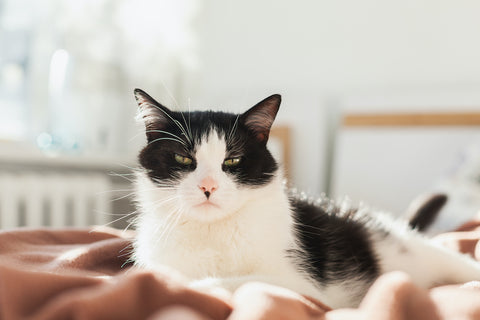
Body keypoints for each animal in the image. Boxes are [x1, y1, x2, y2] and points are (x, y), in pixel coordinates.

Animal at [130, 89, 480, 308]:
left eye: (232, 160)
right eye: (183, 158)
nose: (208, 187)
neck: (212, 232)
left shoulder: (301, 285)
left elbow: (240, 281)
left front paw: (195, 286)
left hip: (412, 250)